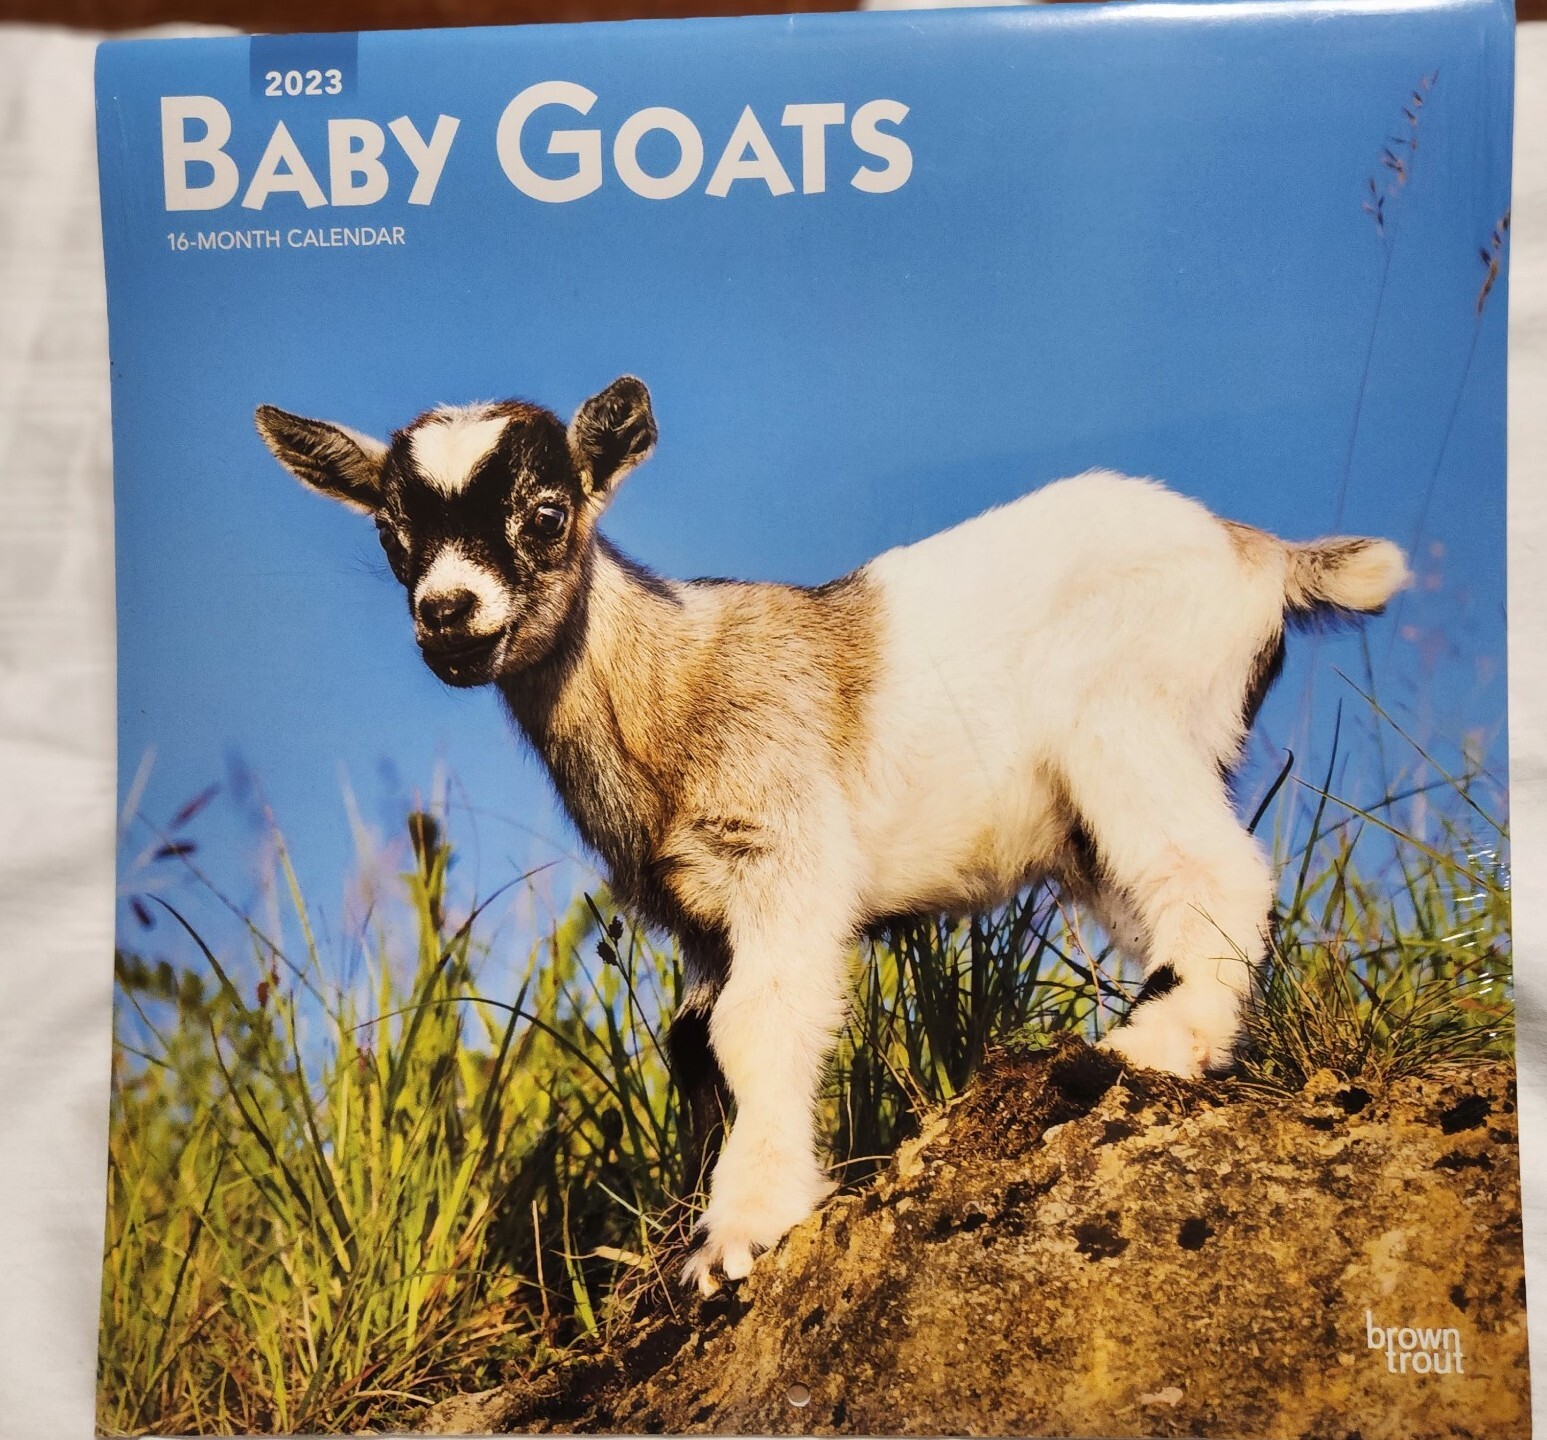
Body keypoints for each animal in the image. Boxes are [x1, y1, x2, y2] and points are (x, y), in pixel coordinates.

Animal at [256, 376, 1409, 1292]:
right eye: (391, 536)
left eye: (545, 513)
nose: (447, 614)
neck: (667, 687)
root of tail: (1259, 554)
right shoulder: (697, 919)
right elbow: (692, 1048)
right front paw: (697, 1214)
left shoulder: (781, 860)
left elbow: (759, 1025)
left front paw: (741, 1230)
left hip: (1127, 719)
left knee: (1216, 868)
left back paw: (1159, 1045)